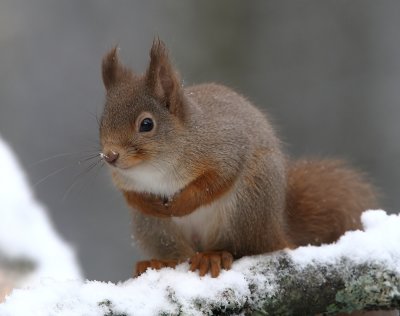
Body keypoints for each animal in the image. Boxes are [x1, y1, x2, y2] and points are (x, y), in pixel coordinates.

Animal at [98, 39, 376, 276]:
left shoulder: (227, 149)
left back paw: (214, 255)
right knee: (177, 253)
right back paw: (159, 261)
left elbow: (216, 181)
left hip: (246, 205)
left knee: (241, 247)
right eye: (102, 121)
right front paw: (149, 203)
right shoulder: (122, 179)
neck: (156, 167)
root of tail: (276, 230)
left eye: (146, 124)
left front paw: (181, 204)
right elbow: (129, 195)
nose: (110, 156)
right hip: (155, 228)